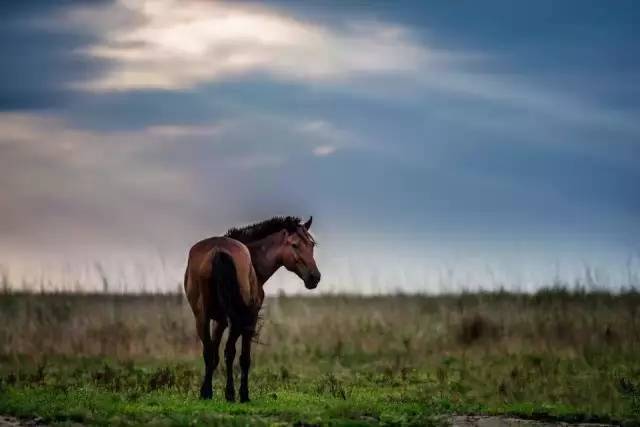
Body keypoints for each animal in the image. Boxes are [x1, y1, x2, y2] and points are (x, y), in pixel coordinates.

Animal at [182, 216, 320, 402]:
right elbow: (243, 357)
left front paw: (205, 390)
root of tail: (218, 250)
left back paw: (210, 393)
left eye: (311, 245)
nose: (315, 277)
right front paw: (243, 394)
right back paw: (231, 394)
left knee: (211, 352)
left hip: (202, 317)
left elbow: (214, 354)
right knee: (231, 352)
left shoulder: (220, 321)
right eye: (294, 245)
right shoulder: (250, 317)